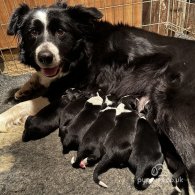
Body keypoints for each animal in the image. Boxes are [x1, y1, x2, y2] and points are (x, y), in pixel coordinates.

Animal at [1, 1, 195, 193]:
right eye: (33, 32)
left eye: (61, 32)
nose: (45, 57)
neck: (80, 49)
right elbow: (36, 80)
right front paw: (24, 88)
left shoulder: (68, 87)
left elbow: (22, 105)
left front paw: (5, 118)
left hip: (174, 111)